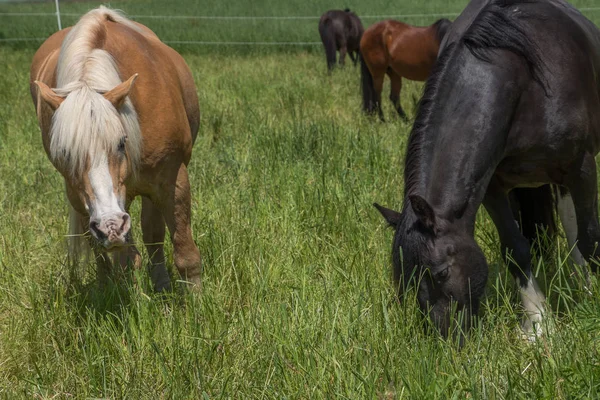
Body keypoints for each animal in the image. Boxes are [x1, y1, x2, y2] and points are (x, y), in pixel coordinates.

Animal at [29, 7, 203, 292]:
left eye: (122, 142)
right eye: (65, 153)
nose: (110, 226)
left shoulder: (173, 179)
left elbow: (184, 252)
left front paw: (195, 303)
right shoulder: (90, 198)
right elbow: (121, 258)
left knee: (152, 232)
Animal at [376, 0, 600, 342]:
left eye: (441, 272)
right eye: (405, 281)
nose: (445, 338)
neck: (526, 81)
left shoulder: (582, 167)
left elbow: (590, 238)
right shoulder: (492, 187)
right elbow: (516, 249)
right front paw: (538, 325)